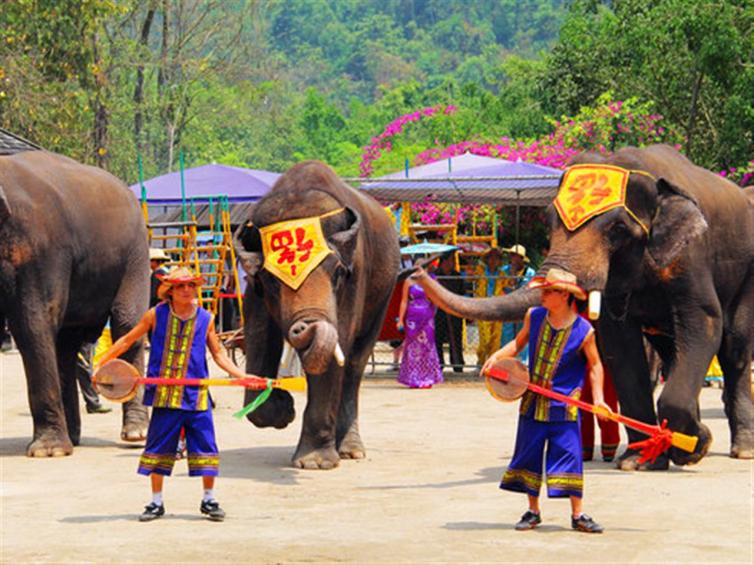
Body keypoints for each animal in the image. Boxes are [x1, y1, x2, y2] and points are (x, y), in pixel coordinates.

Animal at [0, 149, 150, 454]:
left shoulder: (40, 248)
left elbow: (32, 322)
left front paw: (47, 452)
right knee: (65, 344)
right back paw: (72, 436)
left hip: (136, 252)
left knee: (127, 322)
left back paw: (134, 434)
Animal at [234, 159, 400, 468]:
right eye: (272, 282)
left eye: (338, 273)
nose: (305, 325)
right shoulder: (253, 288)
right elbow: (259, 335)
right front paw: (283, 409)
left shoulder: (356, 274)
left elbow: (340, 341)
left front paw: (314, 463)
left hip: (384, 292)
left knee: (355, 363)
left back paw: (350, 450)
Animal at [414, 144, 748, 468]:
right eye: (549, 220)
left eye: (617, 229)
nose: (417, 267)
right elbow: (620, 345)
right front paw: (641, 461)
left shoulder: (691, 257)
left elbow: (704, 322)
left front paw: (695, 445)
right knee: (672, 349)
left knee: (734, 349)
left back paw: (742, 449)